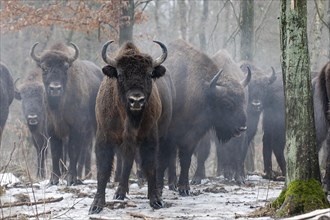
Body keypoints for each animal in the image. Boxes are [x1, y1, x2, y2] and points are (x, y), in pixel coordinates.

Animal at [31, 41, 104, 186]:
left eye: (65, 68)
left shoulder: (76, 128)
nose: (55, 88)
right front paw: (54, 179)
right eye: (44, 68)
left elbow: (73, 150)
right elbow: (55, 152)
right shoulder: (52, 129)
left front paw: (71, 178)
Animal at [89, 40, 174, 214]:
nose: (136, 100)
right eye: (120, 74)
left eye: (149, 74)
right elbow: (103, 170)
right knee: (127, 163)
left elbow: (150, 166)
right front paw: (96, 205)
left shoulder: (149, 138)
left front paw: (155, 200)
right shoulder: (104, 137)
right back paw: (120, 193)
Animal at [157, 39, 248, 196]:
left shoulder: (193, 136)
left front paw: (185, 188)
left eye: (243, 100)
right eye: (227, 103)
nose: (242, 128)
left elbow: (186, 159)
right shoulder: (170, 135)